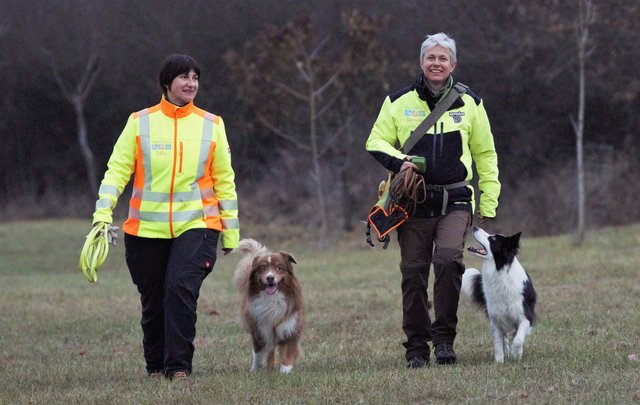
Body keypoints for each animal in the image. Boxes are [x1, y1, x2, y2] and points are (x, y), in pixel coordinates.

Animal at [234, 237, 304, 372]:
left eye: (278, 268)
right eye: (262, 268)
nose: (270, 278)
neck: (272, 299)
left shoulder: (290, 326)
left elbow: (288, 350)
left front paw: (285, 370)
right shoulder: (259, 328)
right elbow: (258, 352)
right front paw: (255, 370)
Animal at [462, 226, 536, 362]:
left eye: (493, 239)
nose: (475, 227)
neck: (500, 272)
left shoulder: (526, 317)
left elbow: (518, 339)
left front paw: (515, 354)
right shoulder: (495, 319)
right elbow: (497, 342)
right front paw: (499, 362)